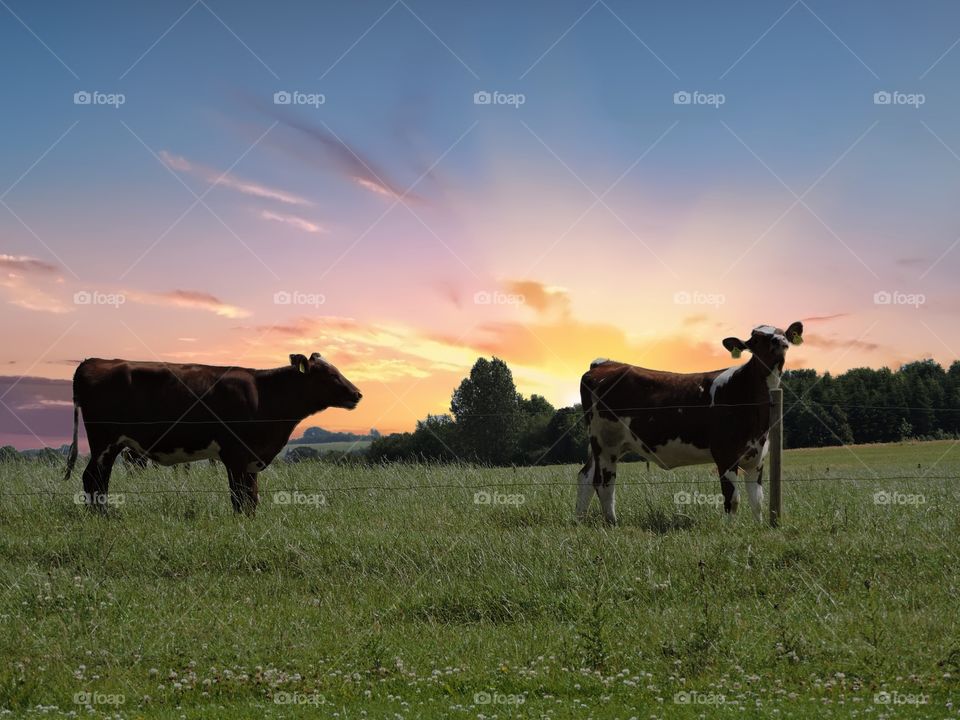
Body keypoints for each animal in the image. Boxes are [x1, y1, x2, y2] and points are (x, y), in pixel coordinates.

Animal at [62, 353, 362, 515]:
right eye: (329, 375)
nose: (357, 393)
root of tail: (93, 361)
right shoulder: (236, 454)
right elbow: (240, 496)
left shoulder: (251, 456)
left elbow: (252, 496)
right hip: (104, 440)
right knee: (93, 478)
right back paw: (101, 516)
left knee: (99, 479)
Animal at [576, 322, 803, 525]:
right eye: (756, 339)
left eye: (783, 333)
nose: (779, 341)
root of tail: (605, 363)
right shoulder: (725, 455)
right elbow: (733, 498)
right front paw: (730, 530)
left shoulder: (757, 456)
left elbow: (757, 500)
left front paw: (758, 528)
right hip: (606, 444)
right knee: (603, 483)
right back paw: (612, 523)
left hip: (607, 445)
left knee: (585, 477)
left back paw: (579, 520)